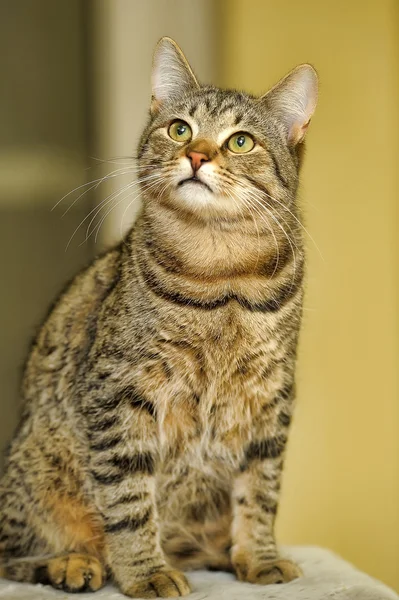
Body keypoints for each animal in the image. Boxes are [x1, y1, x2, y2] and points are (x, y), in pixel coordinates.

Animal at [0, 36, 318, 596]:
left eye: (240, 142)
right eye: (180, 129)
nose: (196, 154)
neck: (222, 274)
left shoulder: (270, 398)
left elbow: (260, 491)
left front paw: (257, 556)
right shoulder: (120, 393)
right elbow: (129, 501)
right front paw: (146, 572)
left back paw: (215, 553)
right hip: (38, 464)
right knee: (13, 554)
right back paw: (73, 564)